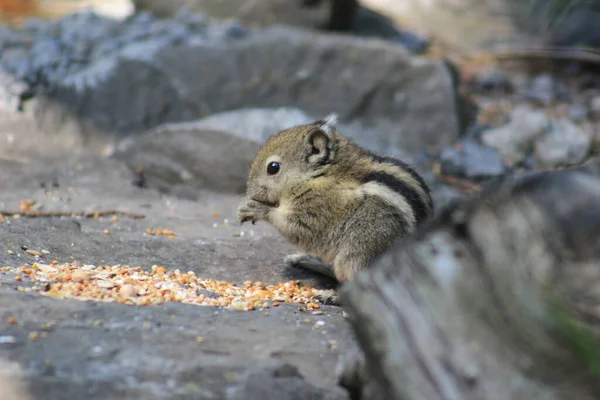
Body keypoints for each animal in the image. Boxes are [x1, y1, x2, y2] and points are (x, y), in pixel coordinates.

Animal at [237, 114, 434, 304]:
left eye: (273, 167)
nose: (249, 192)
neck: (320, 175)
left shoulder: (315, 209)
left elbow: (294, 227)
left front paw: (256, 209)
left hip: (360, 253)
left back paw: (331, 296)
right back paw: (307, 260)